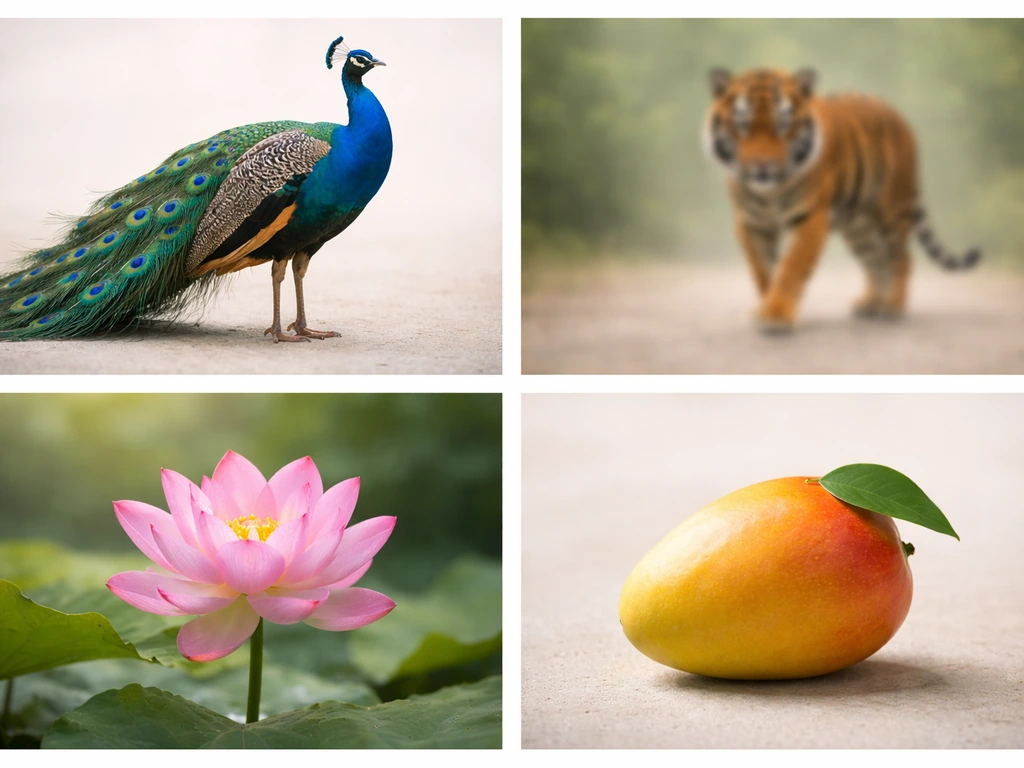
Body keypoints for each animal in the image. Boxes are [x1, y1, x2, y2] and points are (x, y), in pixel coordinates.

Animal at [703, 67, 980, 332]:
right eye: (742, 125)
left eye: (783, 126)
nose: (762, 166)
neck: (769, 190)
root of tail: (898, 116)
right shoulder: (751, 222)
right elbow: (763, 270)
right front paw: (765, 308)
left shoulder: (810, 217)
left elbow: (791, 267)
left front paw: (776, 316)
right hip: (859, 226)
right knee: (875, 260)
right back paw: (871, 304)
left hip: (892, 212)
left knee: (901, 259)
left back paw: (893, 307)